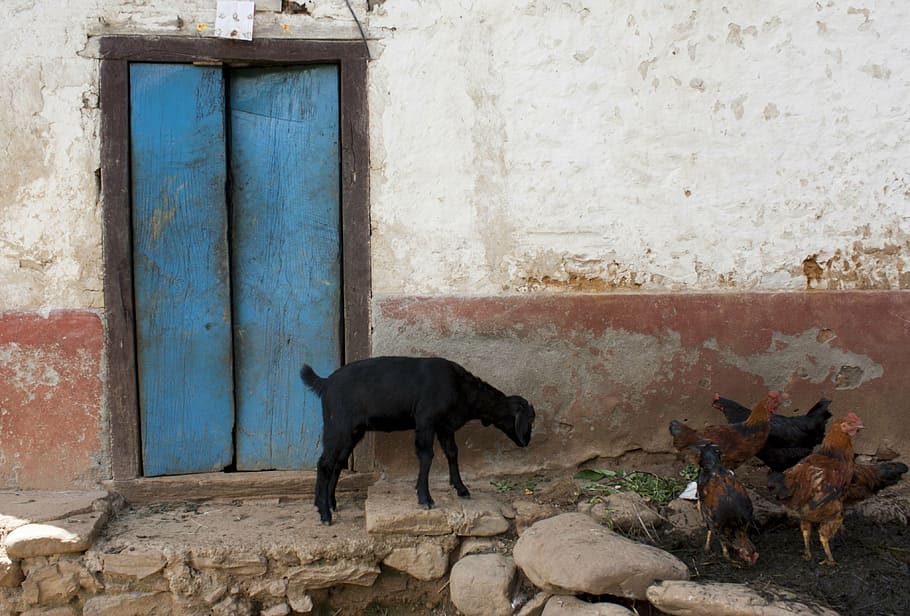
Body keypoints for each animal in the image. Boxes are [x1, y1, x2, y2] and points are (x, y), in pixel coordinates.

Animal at [301, 356, 536, 525]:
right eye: (529, 420)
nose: (527, 442)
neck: (461, 389)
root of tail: (325, 383)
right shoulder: (426, 420)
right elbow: (426, 455)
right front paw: (425, 498)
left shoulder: (444, 426)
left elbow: (452, 453)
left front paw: (461, 488)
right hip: (338, 426)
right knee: (324, 463)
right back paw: (324, 513)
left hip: (353, 431)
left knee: (337, 462)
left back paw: (329, 503)